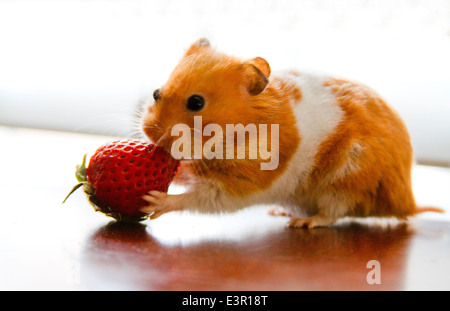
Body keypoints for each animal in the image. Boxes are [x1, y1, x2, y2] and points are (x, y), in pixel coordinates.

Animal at [141, 39, 442, 229]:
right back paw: (281, 211)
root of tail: (407, 202)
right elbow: (187, 176)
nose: (150, 135)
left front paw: (154, 202)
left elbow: (201, 198)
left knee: (333, 214)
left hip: (347, 182)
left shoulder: (244, 185)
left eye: (196, 103)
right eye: (156, 93)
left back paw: (301, 222)